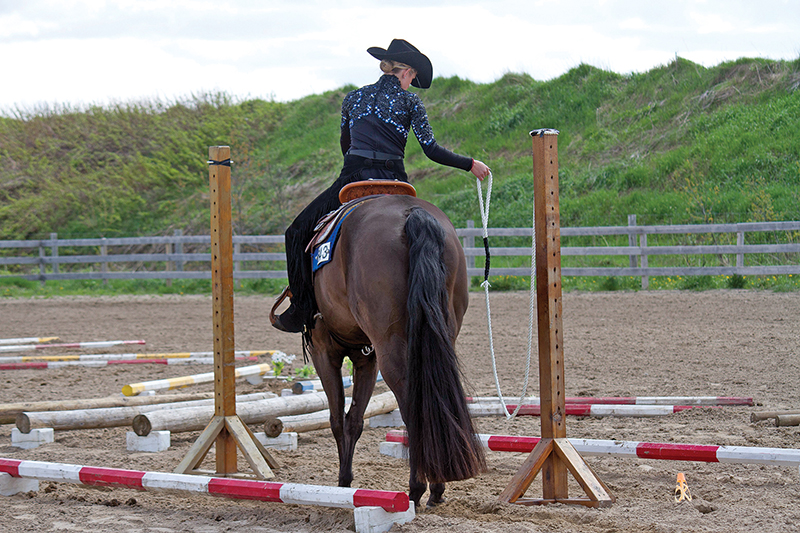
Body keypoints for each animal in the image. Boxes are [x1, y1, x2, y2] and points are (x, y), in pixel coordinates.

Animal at [306, 193, 486, 508]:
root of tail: (413, 214)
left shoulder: (324, 353)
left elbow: (338, 419)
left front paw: (343, 483)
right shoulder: (367, 358)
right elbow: (354, 420)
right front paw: (345, 480)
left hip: (388, 345)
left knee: (411, 406)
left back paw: (417, 488)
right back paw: (436, 487)